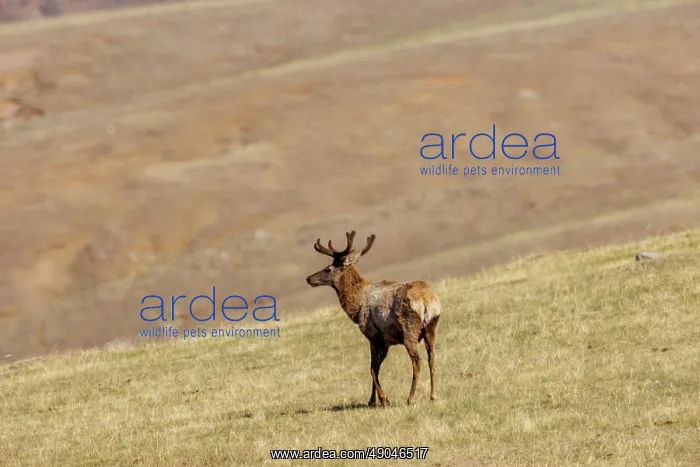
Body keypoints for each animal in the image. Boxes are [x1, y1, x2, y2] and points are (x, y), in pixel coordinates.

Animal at [305, 230, 441, 407]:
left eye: (328, 268)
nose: (309, 278)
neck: (357, 306)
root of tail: (427, 300)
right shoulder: (384, 340)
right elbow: (374, 367)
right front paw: (372, 400)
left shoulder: (374, 335)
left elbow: (372, 368)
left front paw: (383, 399)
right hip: (431, 327)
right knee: (432, 358)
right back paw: (433, 395)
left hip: (409, 330)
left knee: (417, 361)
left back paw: (410, 398)